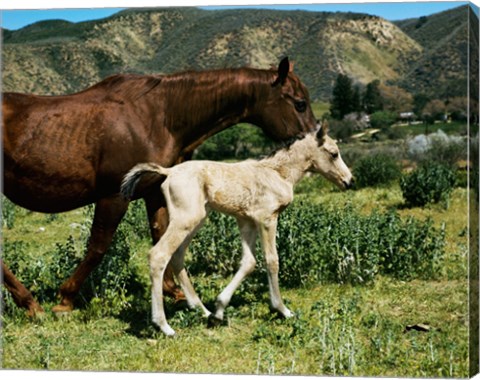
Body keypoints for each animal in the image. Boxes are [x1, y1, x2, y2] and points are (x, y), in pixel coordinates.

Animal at [3, 56, 318, 314]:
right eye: (299, 103)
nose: (315, 142)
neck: (158, 116)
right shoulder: (114, 196)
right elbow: (98, 247)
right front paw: (66, 298)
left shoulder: (154, 191)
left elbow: (161, 236)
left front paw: (172, 291)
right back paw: (30, 303)